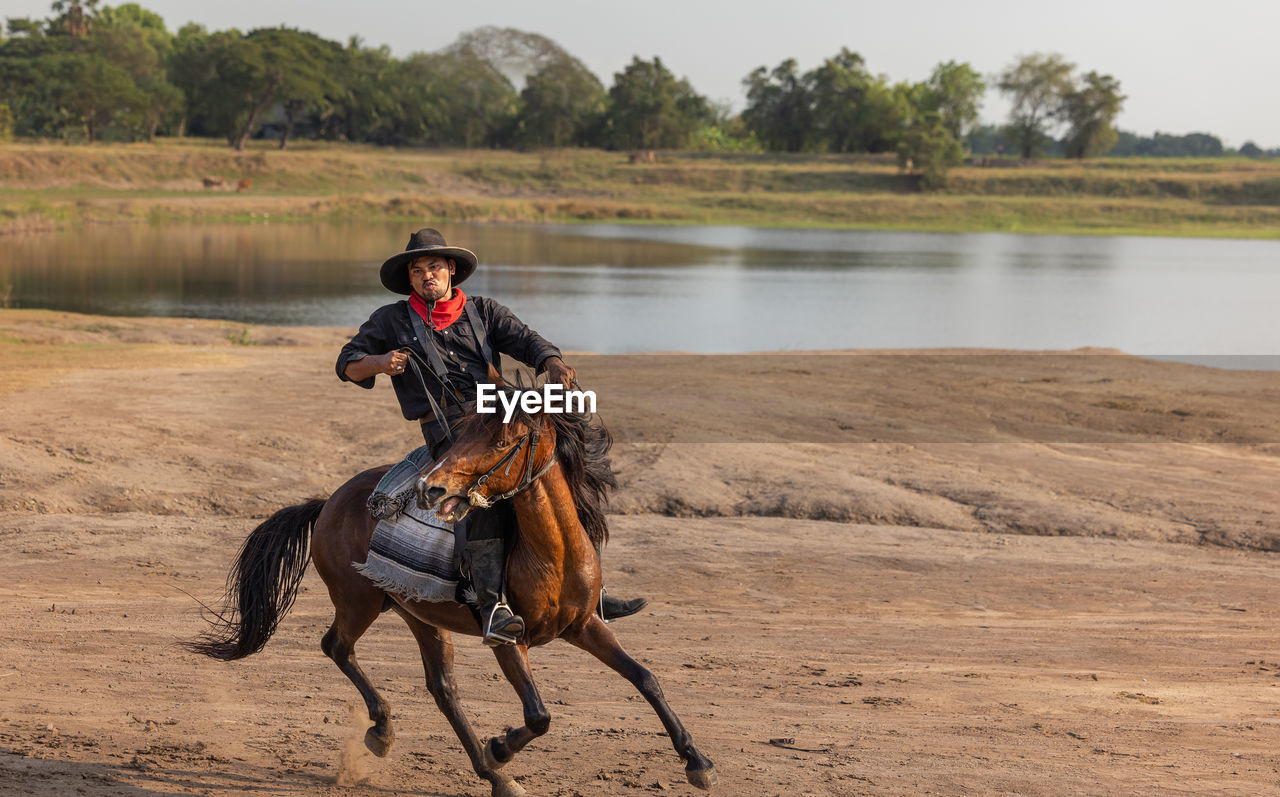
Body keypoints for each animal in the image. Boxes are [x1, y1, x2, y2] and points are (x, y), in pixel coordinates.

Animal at [188, 376, 716, 797]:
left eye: (504, 439)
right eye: (463, 432)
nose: (433, 489)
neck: (552, 552)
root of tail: (328, 502)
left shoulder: (584, 625)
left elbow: (645, 678)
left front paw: (698, 762)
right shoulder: (507, 639)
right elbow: (538, 715)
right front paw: (501, 747)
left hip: (419, 616)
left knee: (442, 689)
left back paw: (486, 773)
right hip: (359, 603)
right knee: (337, 647)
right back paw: (402, 737)